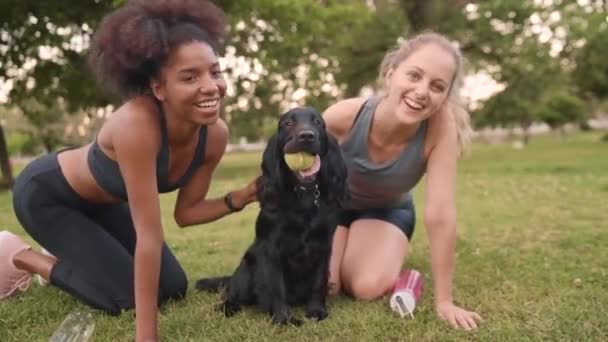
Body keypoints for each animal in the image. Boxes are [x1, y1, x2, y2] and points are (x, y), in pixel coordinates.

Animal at [195, 105, 346, 324]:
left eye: (317, 122)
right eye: (288, 123)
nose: (306, 136)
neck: (303, 194)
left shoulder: (324, 245)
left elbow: (318, 282)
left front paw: (317, 310)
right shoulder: (271, 248)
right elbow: (277, 286)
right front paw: (283, 319)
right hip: (247, 267)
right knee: (231, 295)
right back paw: (227, 308)